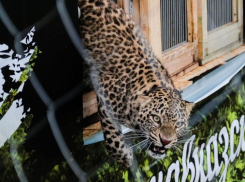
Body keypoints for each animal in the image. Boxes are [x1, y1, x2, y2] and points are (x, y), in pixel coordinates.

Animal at [78, 0, 193, 168]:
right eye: (156, 119)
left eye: (178, 124)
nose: (166, 141)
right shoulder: (105, 93)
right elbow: (112, 134)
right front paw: (125, 157)